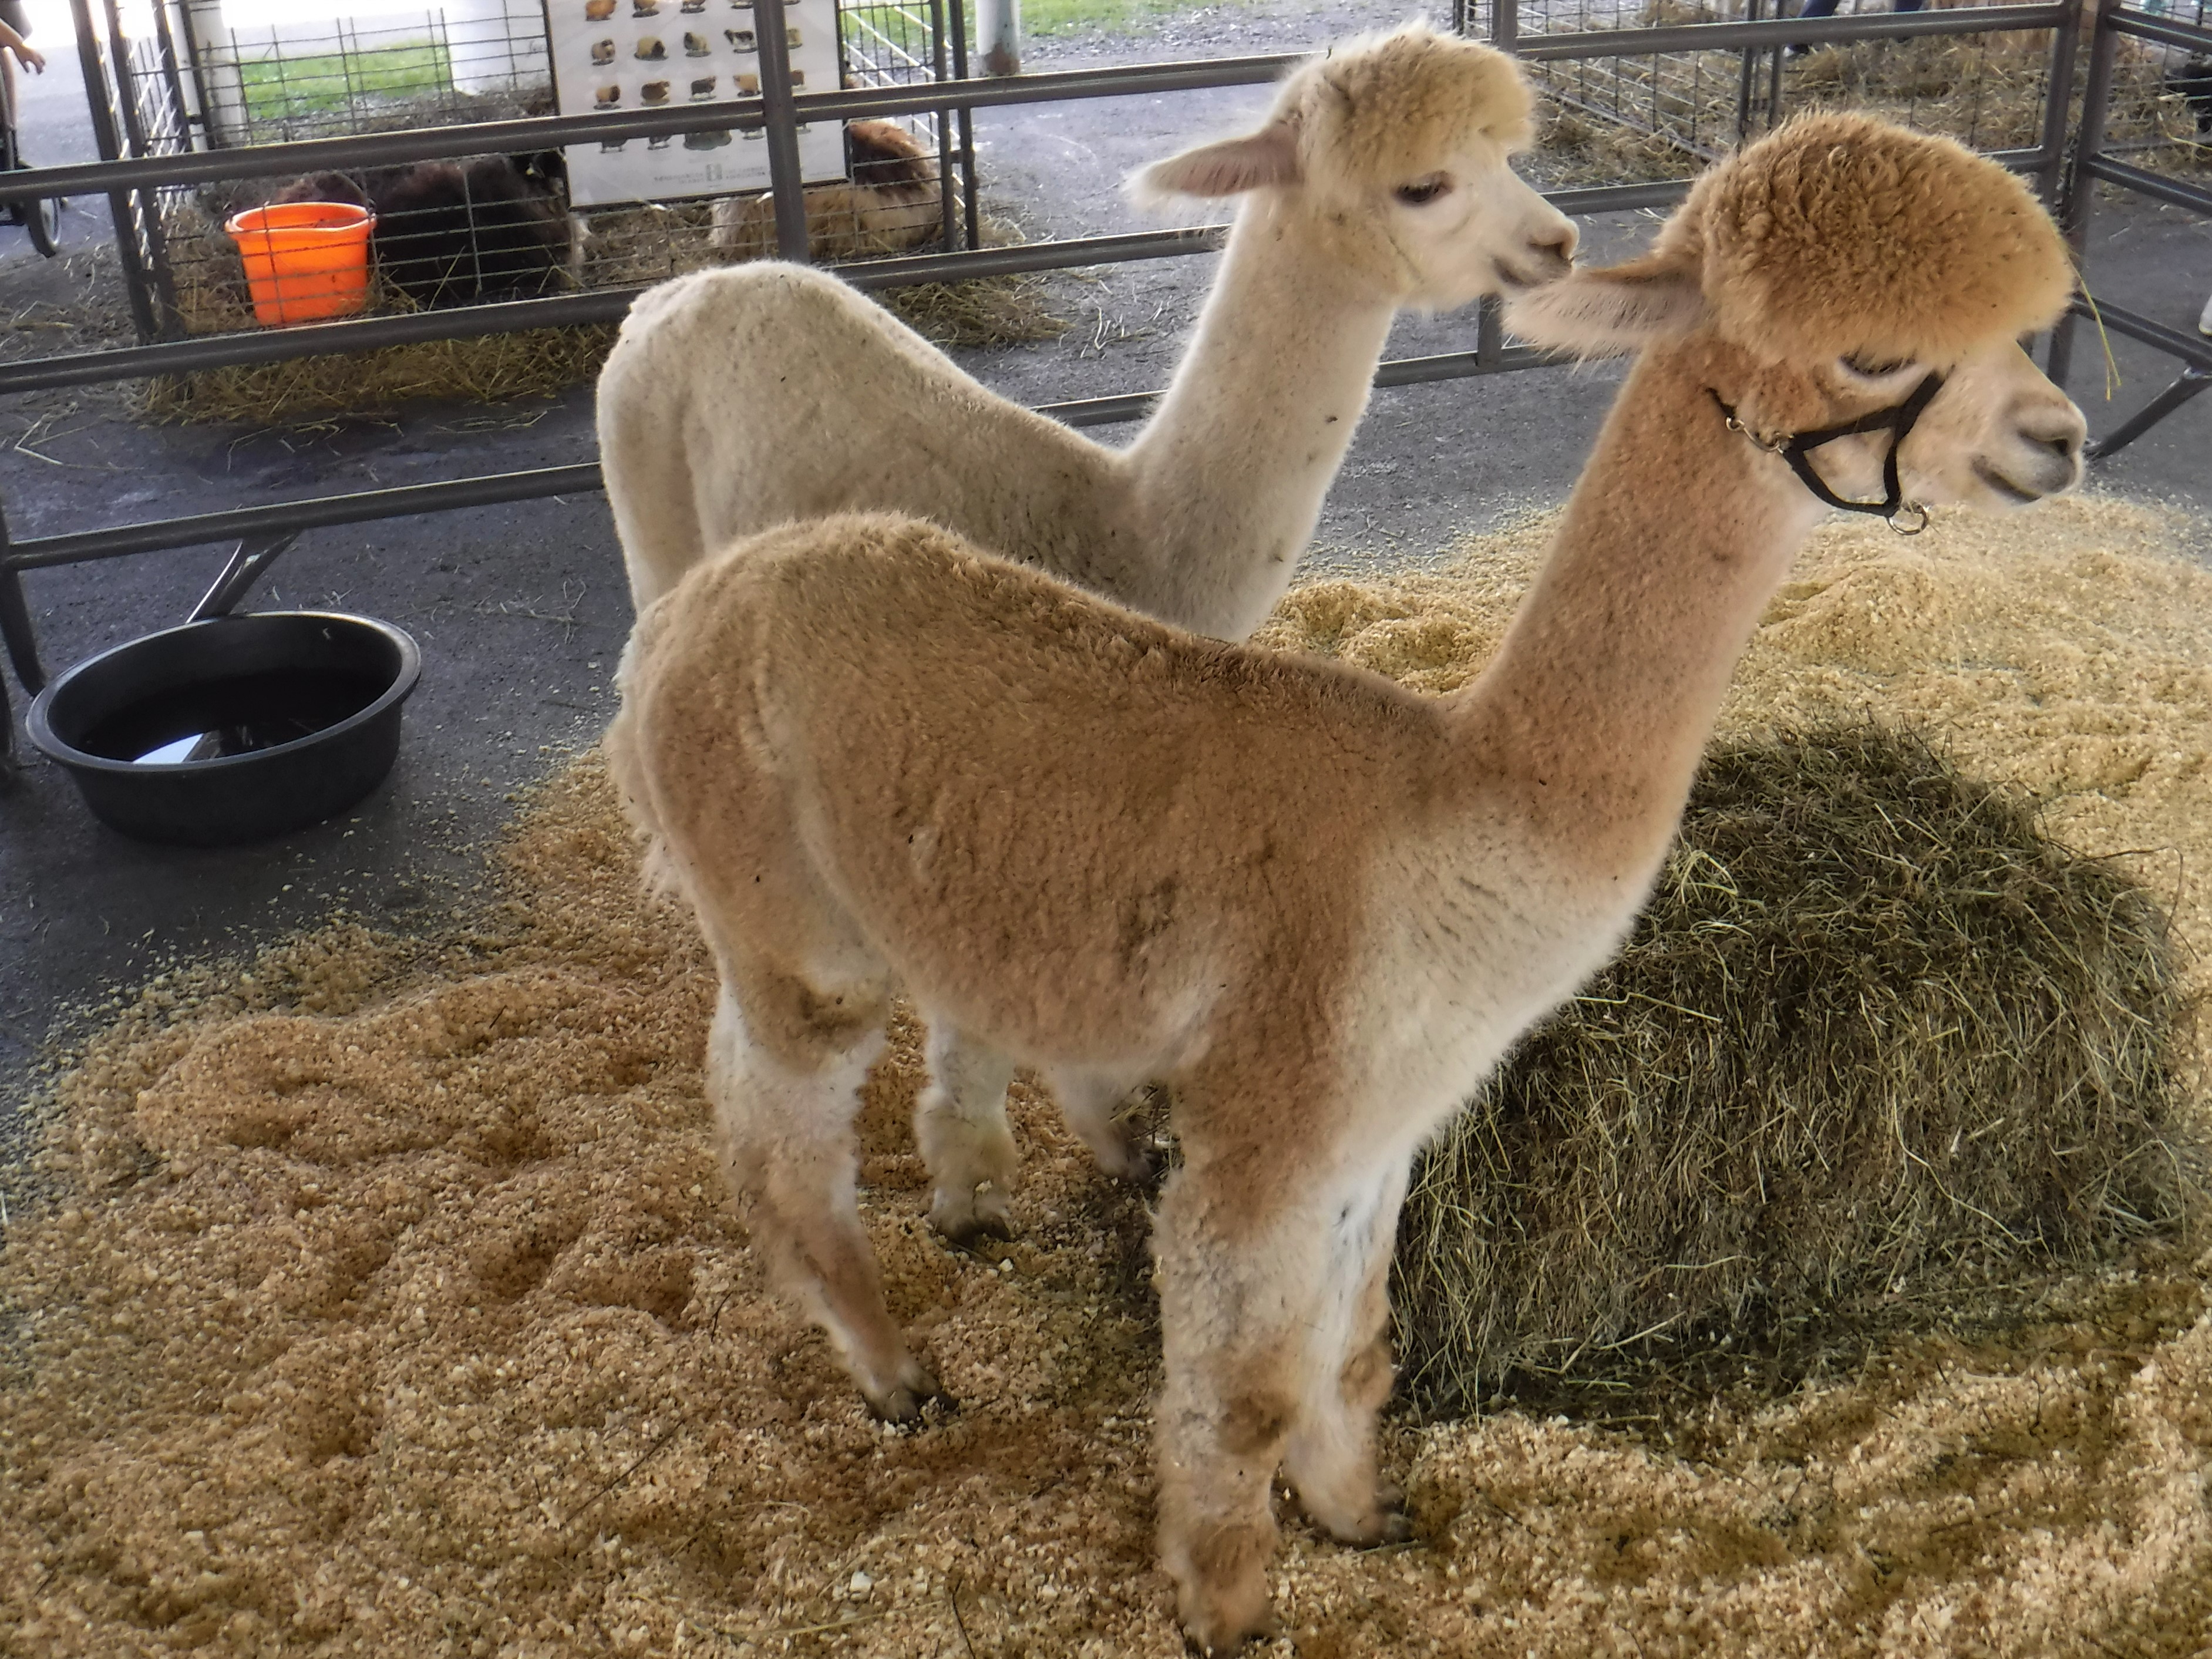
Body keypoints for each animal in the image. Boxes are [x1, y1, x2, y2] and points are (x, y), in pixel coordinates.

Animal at [599, 23, 1577, 1246]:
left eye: (1506, 152)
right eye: (1423, 184)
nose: (1558, 242)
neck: (1126, 535)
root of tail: (682, 290)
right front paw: (970, 1190)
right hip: (648, 506)